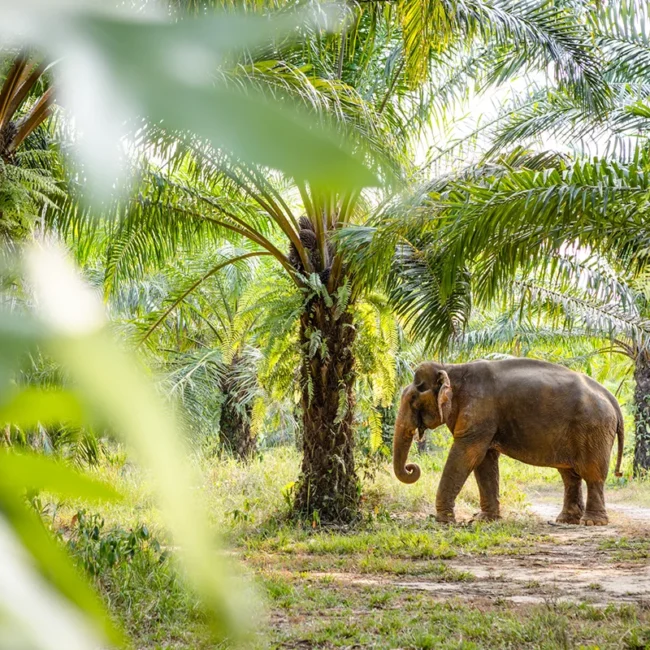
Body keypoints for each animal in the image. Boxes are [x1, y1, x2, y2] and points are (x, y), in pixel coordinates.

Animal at [393, 358, 624, 526]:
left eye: (413, 399)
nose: (412, 467)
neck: (451, 367)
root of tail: (611, 397)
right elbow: (484, 461)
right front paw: (483, 520)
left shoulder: (479, 411)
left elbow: (467, 454)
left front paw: (443, 521)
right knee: (569, 474)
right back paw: (566, 520)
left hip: (593, 428)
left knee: (592, 473)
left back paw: (592, 522)